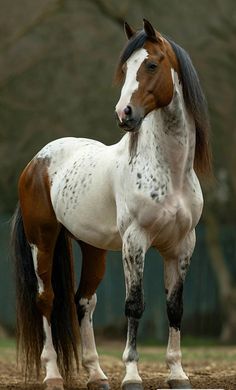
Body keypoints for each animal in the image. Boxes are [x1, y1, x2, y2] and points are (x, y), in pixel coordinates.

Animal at [11, 19, 211, 390]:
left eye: (151, 65)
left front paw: (177, 374)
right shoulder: (135, 242)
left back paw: (97, 375)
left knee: (83, 302)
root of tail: (36, 162)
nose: (124, 113)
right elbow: (134, 305)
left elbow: (174, 307)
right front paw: (132, 375)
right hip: (42, 241)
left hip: (93, 248)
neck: (170, 171)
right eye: (125, 69)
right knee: (47, 300)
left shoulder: (181, 245)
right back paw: (53, 374)